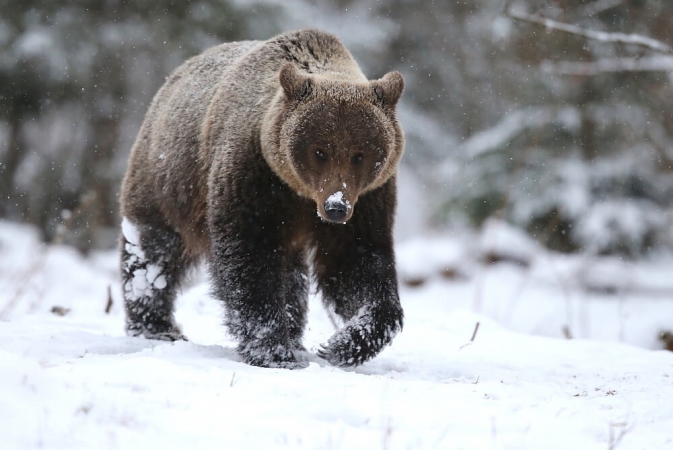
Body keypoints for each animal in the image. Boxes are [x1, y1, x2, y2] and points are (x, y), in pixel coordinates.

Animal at [119, 27, 404, 370]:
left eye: (359, 154)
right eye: (320, 150)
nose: (336, 207)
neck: (299, 194)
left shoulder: (368, 199)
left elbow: (356, 263)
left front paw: (344, 343)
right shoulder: (254, 180)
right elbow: (249, 260)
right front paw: (273, 349)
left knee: (292, 276)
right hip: (168, 181)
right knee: (154, 250)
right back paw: (155, 325)